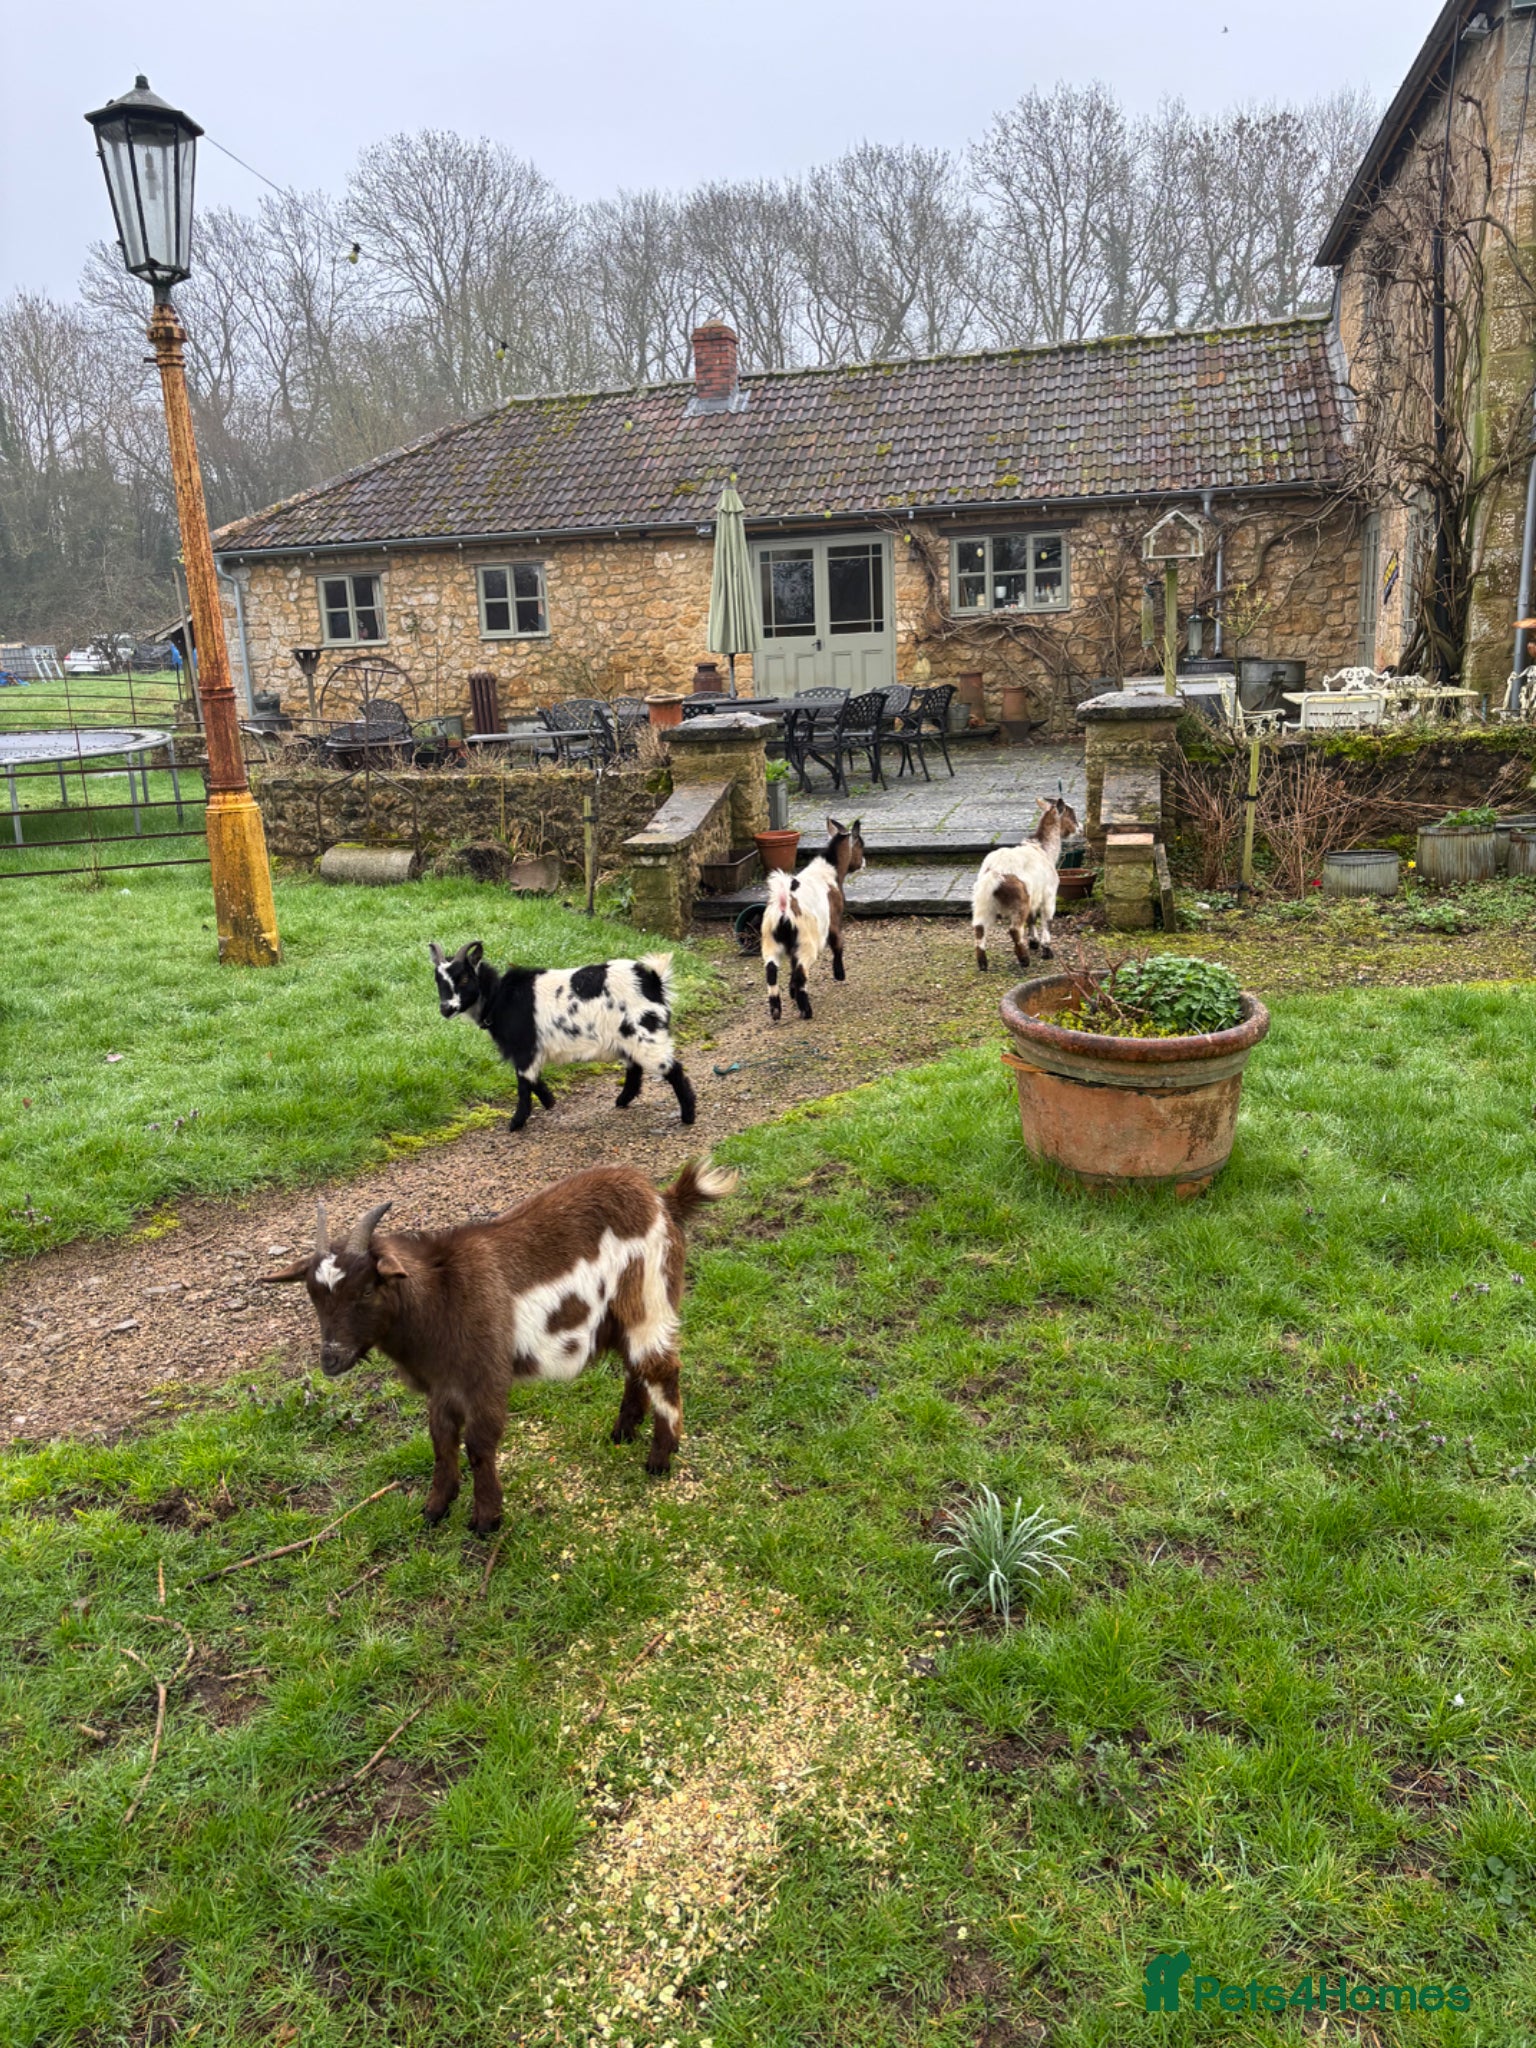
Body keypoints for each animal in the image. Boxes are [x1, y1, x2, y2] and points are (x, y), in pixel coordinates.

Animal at [261, 1159, 738, 1527]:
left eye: (364, 1290)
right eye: (312, 1294)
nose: (331, 1360)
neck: (441, 1294)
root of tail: (663, 1200)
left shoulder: (485, 1373)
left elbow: (479, 1444)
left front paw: (486, 1519)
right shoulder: (443, 1383)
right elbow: (441, 1440)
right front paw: (436, 1508)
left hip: (648, 1297)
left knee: (661, 1367)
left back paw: (661, 1457)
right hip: (621, 1316)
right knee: (635, 1366)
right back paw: (623, 1431)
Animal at [430, 941, 696, 1132]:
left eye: (465, 978)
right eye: (437, 981)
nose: (446, 1008)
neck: (499, 998)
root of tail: (653, 981)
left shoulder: (524, 1049)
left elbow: (524, 1083)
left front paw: (516, 1123)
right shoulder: (531, 1051)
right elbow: (533, 1078)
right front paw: (550, 1102)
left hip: (645, 1034)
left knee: (672, 1069)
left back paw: (688, 1116)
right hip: (629, 1037)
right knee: (635, 1067)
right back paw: (622, 1101)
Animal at [760, 817, 865, 1021]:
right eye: (861, 845)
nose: (863, 862)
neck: (829, 871)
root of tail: (784, 906)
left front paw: (791, 992)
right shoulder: (834, 921)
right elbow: (838, 944)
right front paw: (840, 975)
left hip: (770, 941)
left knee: (771, 971)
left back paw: (776, 1011)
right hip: (807, 942)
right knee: (800, 974)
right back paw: (806, 1011)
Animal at [970, 796, 1079, 972]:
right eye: (1071, 813)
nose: (1079, 827)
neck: (1044, 850)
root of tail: (995, 871)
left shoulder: (1033, 897)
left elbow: (1032, 918)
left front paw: (1034, 942)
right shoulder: (1049, 895)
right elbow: (1047, 921)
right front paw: (1046, 950)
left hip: (982, 900)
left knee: (979, 927)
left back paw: (983, 964)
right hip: (1018, 900)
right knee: (1015, 929)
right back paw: (1024, 959)